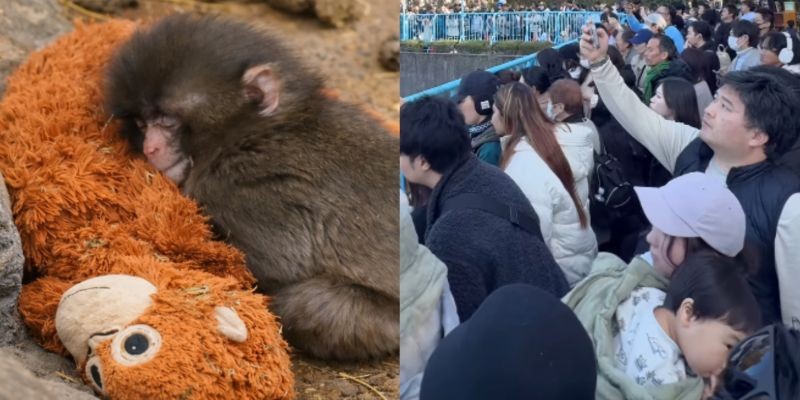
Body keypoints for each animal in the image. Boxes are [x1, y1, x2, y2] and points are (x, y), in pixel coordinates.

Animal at [104, 14, 399, 362]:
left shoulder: (243, 188)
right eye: (142, 123)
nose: (150, 148)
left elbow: (277, 262)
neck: (253, 134)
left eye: (167, 120)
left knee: (309, 305)